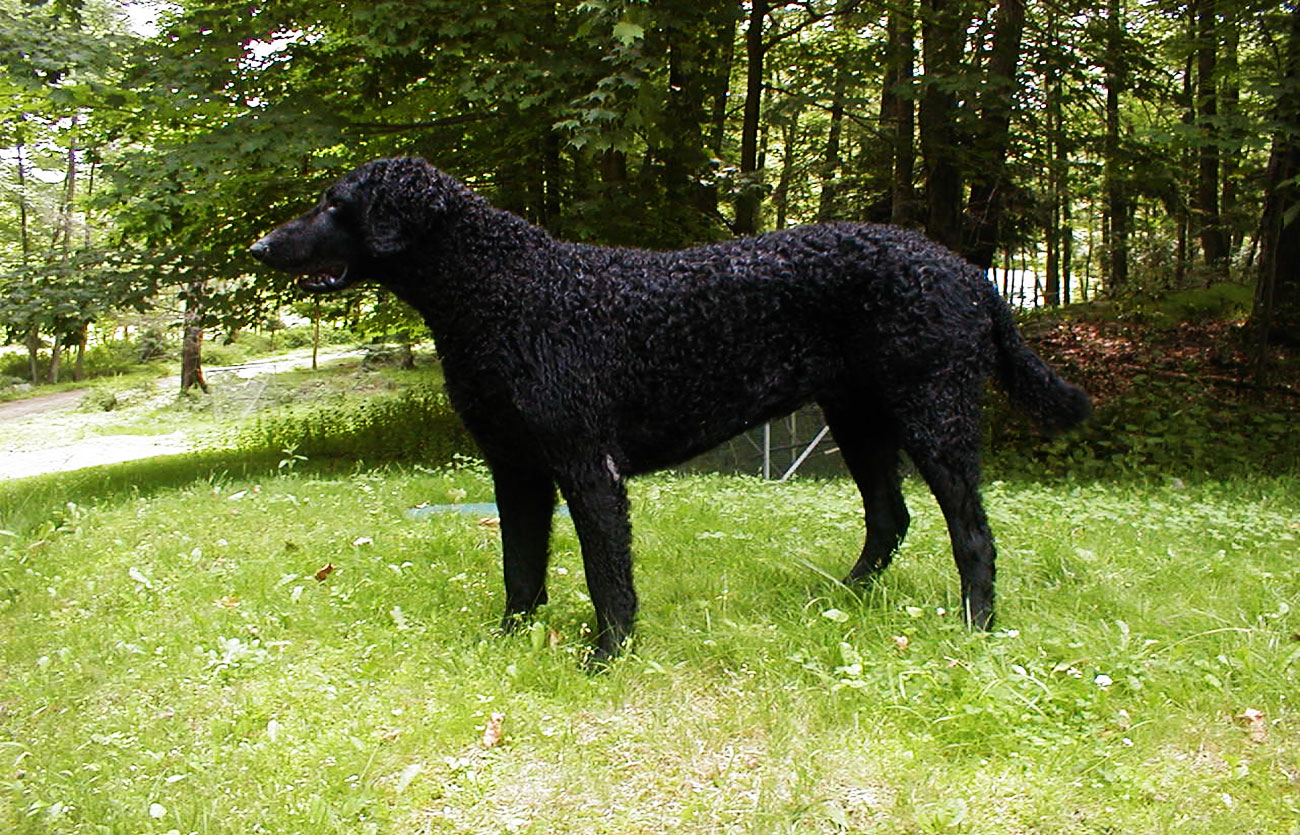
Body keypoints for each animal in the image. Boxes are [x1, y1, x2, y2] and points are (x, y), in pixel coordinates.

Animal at [250, 156, 1086, 663]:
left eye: (334, 203)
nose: (259, 247)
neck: (505, 289)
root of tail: (969, 272)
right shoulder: (515, 465)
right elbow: (520, 568)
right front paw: (510, 642)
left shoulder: (588, 464)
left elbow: (606, 573)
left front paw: (607, 654)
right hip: (858, 416)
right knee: (891, 517)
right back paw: (841, 600)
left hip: (934, 411)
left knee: (972, 534)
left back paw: (976, 626)